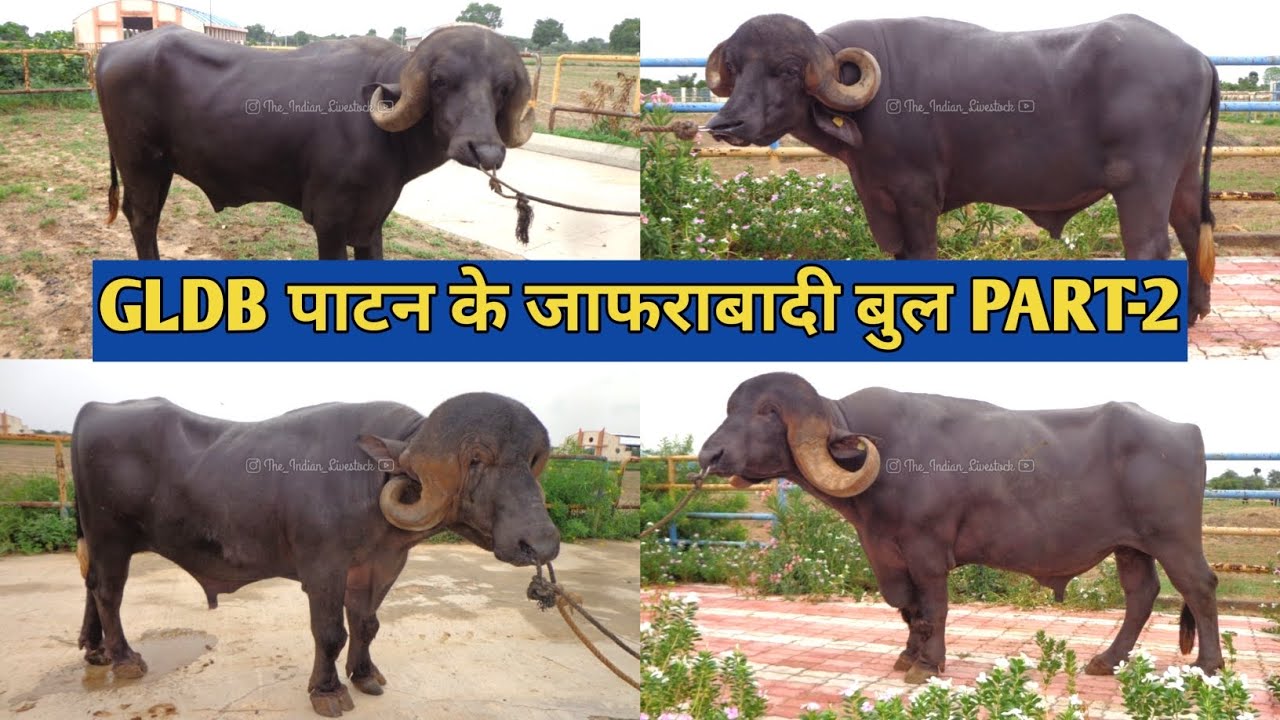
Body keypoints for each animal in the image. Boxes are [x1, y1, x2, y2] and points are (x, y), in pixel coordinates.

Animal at [72, 393, 559, 717]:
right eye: (476, 460)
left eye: (531, 460)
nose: (540, 543)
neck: (368, 478)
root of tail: (94, 409)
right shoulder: (324, 570)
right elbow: (329, 633)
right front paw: (327, 691)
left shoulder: (380, 566)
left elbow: (366, 624)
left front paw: (364, 675)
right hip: (111, 538)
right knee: (109, 593)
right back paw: (124, 658)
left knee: (90, 585)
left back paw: (96, 651)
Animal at [95, 23, 535, 260]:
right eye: (441, 81)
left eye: (502, 89)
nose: (485, 150)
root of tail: (112, 50)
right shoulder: (329, 220)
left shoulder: (372, 221)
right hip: (140, 164)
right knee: (142, 218)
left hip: (160, 169)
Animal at [697, 372, 1221, 683]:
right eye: (730, 409)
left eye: (767, 412)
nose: (709, 455)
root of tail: (1185, 431)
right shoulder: (885, 552)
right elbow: (908, 609)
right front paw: (908, 655)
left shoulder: (926, 550)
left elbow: (934, 607)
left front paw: (927, 665)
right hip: (1130, 546)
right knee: (1141, 594)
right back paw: (1106, 661)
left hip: (1173, 539)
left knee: (1199, 586)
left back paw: (1209, 664)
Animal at [703, 14, 1220, 322]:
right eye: (736, 67)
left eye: (787, 70)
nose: (725, 123)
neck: (869, 106)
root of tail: (1198, 57)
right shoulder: (881, 193)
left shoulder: (915, 195)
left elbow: (922, 256)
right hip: (1183, 173)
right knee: (1190, 228)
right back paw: (1195, 311)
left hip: (1141, 181)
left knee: (1150, 247)